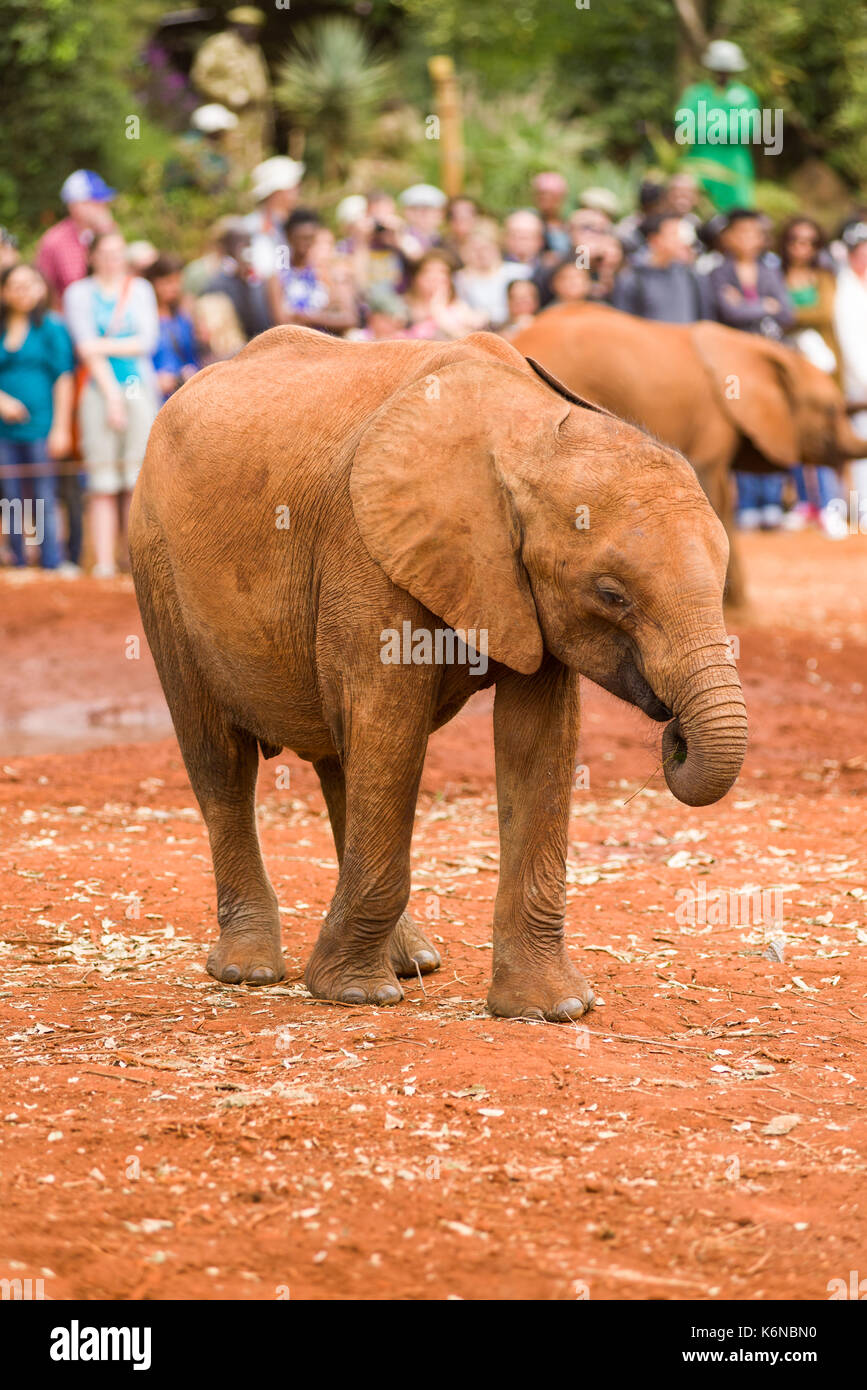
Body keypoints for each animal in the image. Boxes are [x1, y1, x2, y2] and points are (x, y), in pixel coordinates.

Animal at [128, 325, 744, 1023]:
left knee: (344, 759)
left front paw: (551, 1010)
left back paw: (411, 961)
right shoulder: (369, 550)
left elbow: (537, 742)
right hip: (157, 562)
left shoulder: (523, 589)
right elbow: (392, 726)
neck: (527, 429)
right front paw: (355, 996)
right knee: (223, 759)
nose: (675, 735)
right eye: (612, 594)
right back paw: (251, 970)